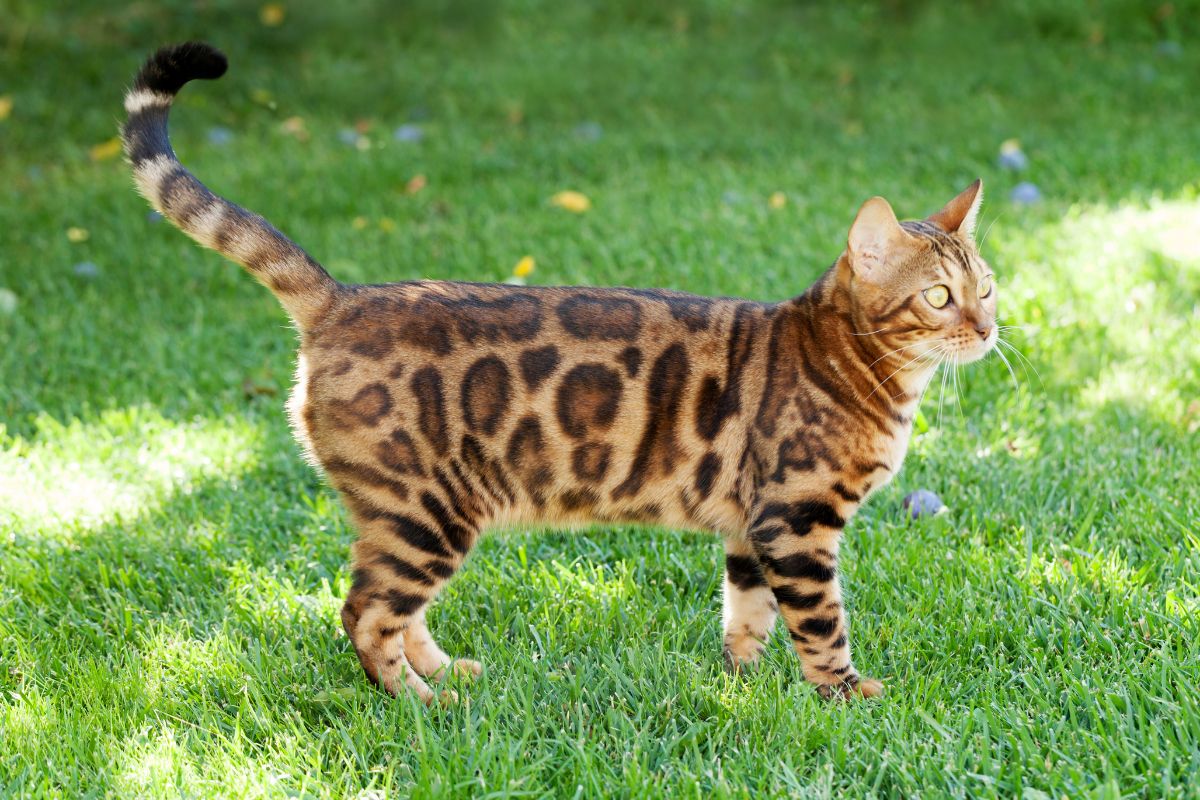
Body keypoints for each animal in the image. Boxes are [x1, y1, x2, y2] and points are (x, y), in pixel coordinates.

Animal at [121, 45, 998, 705]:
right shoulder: (797, 518)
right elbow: (821, 623)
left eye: (986, 287)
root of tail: (343, 297)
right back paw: (417, 702)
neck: (871, 373)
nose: (990, 329)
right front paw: (845, 693)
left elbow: (745, 613)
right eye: (938, 296)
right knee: (363, 612)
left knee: (393, 609)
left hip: (410, 516)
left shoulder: (751, 526)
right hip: (425, 508)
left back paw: (448, 673)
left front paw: (741, 685)